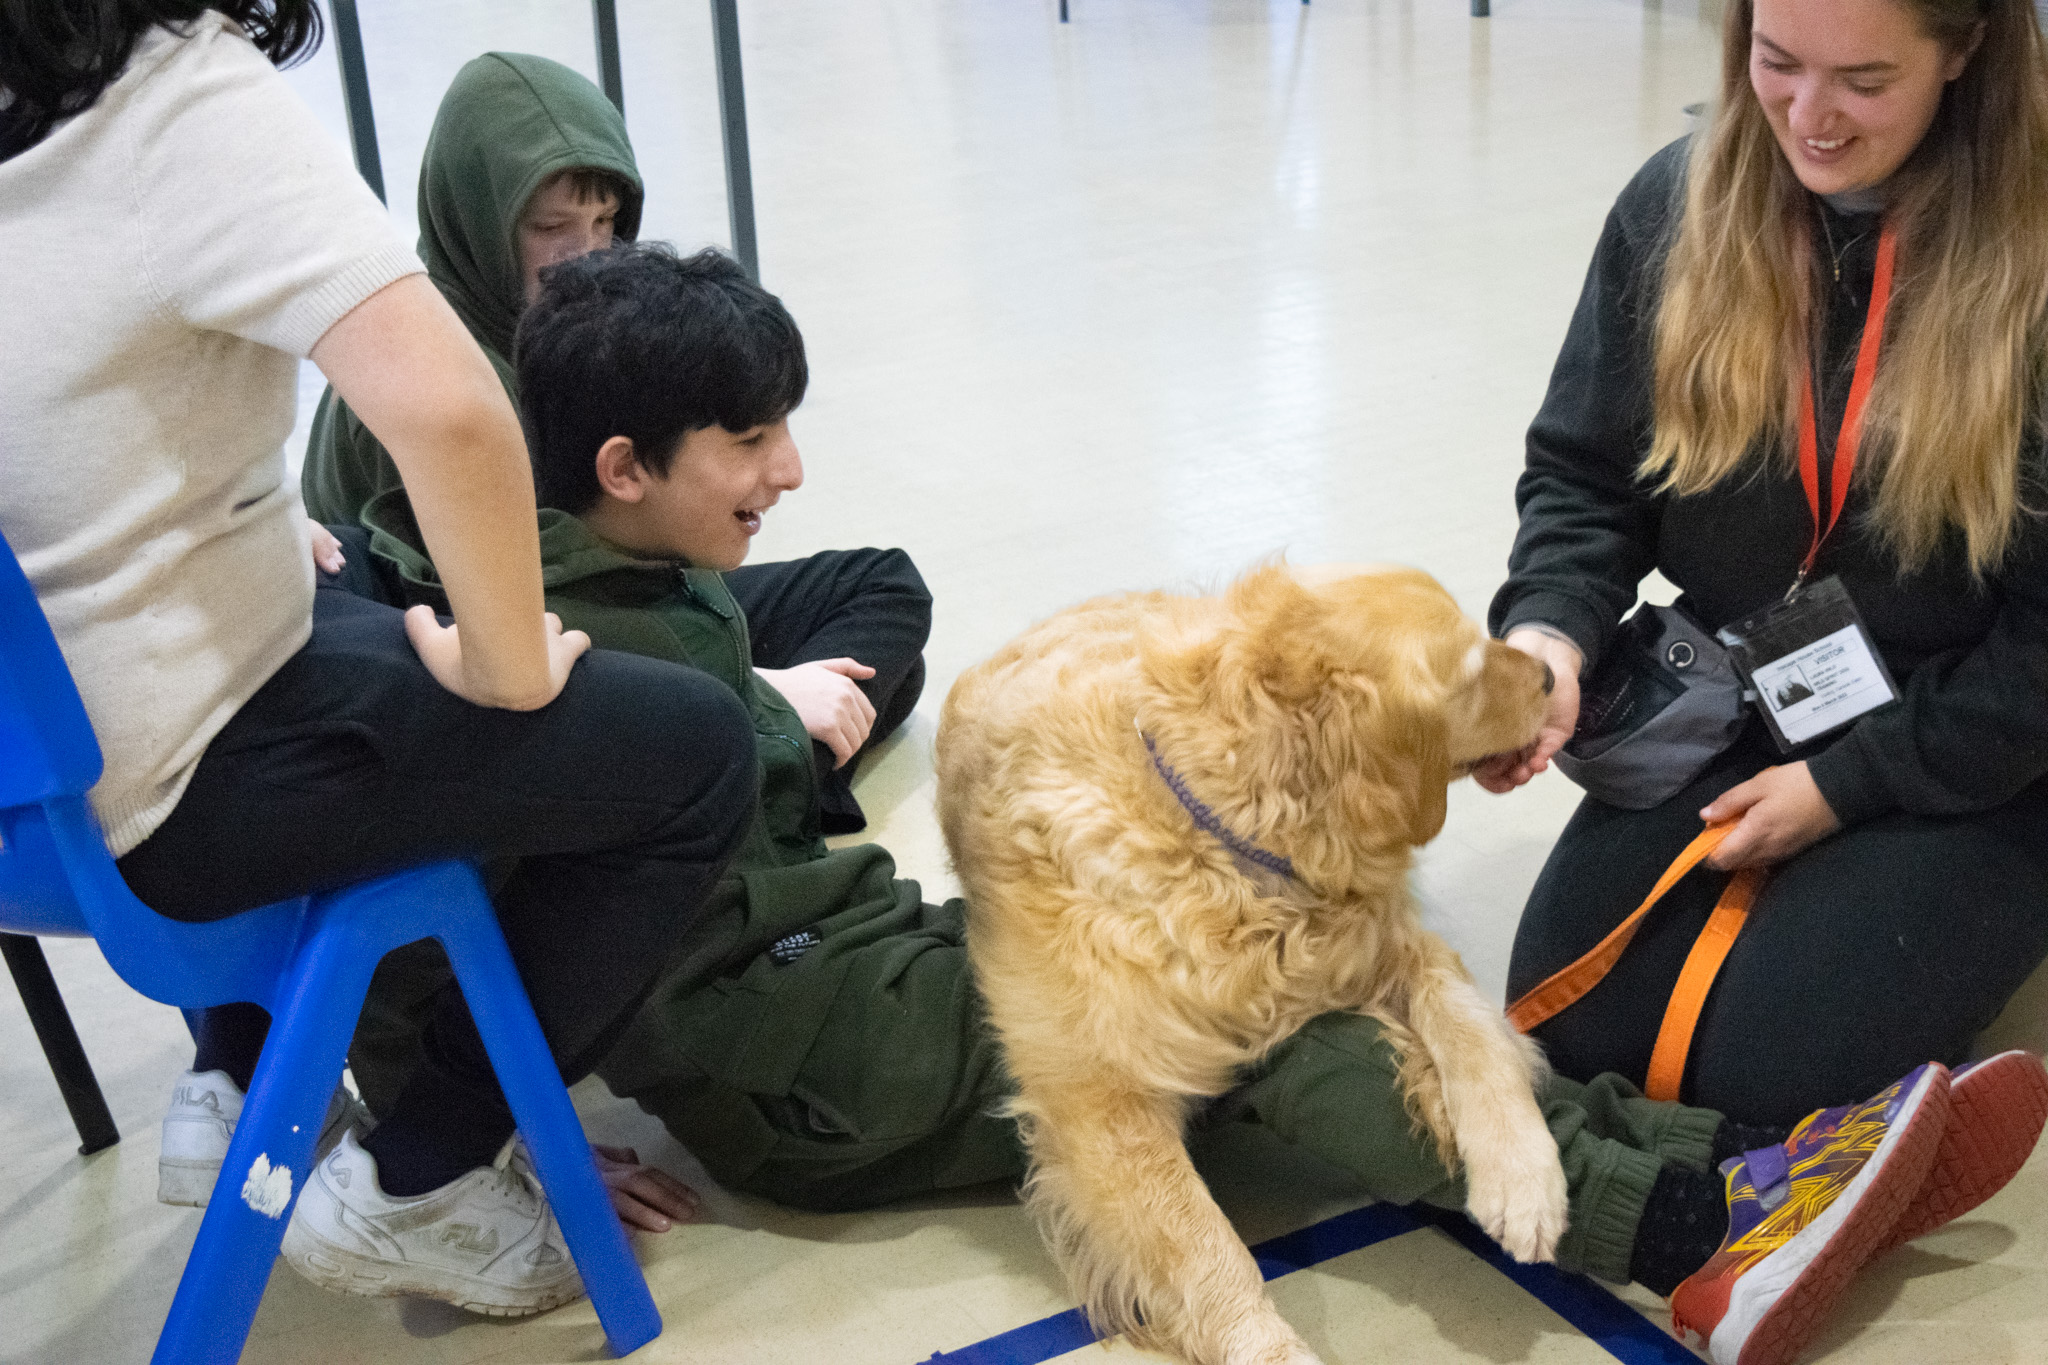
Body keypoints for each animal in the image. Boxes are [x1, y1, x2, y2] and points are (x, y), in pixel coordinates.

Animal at [937, 564, 1564, 1365]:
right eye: (1474, 671)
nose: (1553, 673)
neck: (1219, 837)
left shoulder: (1390, 942)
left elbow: (1472, 1031)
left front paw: (1524, 1178)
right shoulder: (1102, 1100)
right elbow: (1209, 1249)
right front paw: (1269, 1346)